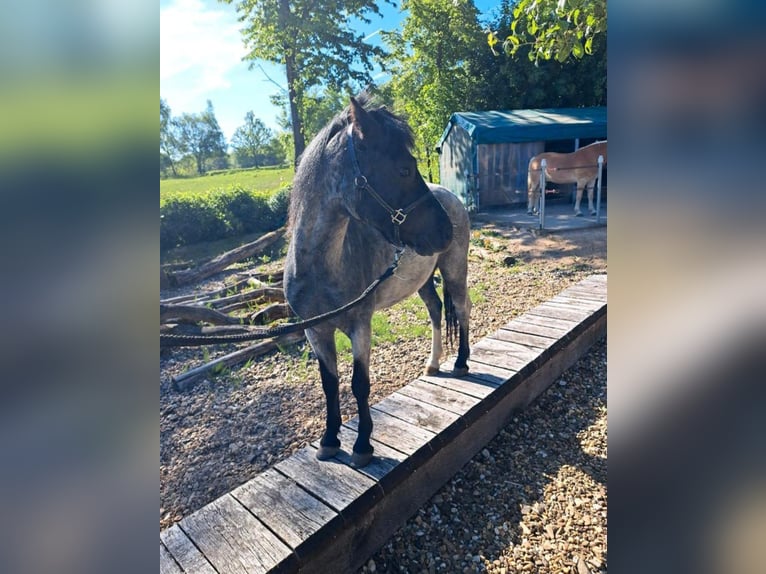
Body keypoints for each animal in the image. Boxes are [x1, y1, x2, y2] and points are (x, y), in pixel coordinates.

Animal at [283, 95, 471, 468]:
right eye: (403, 169)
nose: (445, 230)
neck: (319, 269)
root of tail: (452, 196)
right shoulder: (316, 332)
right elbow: (329, 384)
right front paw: (329, 440)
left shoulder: (361, 325)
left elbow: (360, 384)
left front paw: (362, 445)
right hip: (423, 281)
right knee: (436, 311)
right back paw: (433, 363)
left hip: (455, 270)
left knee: (462, 308)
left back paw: (460, 363)